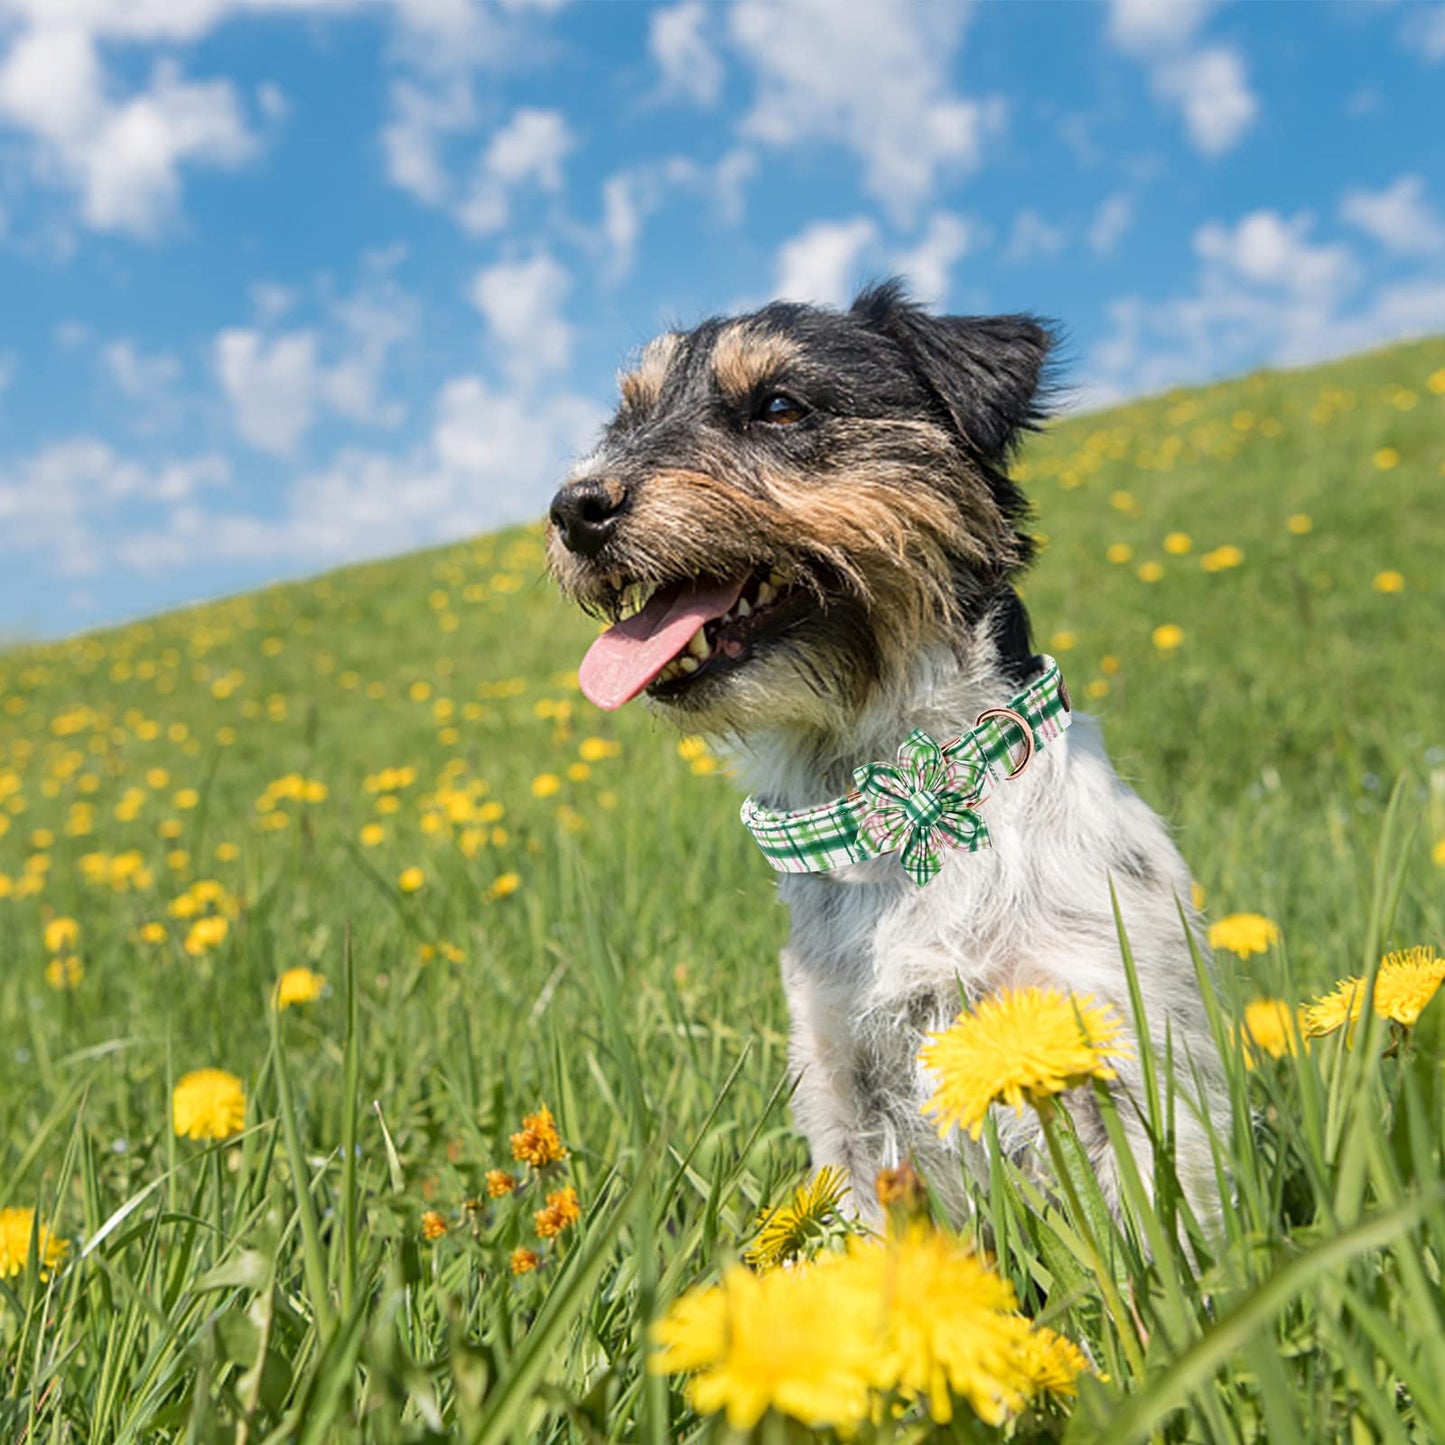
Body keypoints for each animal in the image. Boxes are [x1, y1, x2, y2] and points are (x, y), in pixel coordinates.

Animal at [546, 278, 1225, 1219]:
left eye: (779, 406)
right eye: (627, 418)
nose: (574, 508)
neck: (905, 794)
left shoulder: (1125, 1043)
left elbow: (1168, 1232)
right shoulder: (843, 1094)